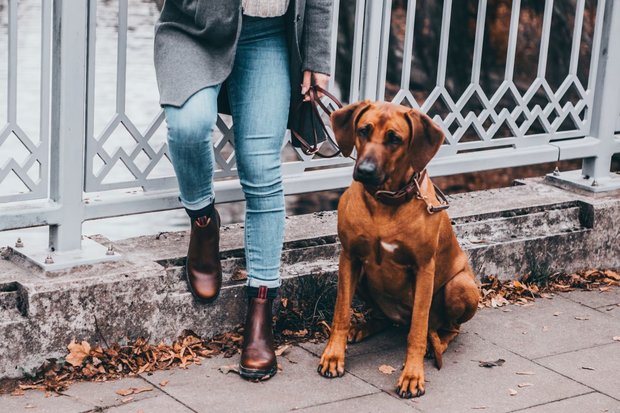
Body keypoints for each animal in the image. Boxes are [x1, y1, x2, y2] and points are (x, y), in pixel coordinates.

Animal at [318, 100, 482, 396]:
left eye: (394, 139)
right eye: (363, 130)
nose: (365, 171)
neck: (385, 202)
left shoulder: (424, 268)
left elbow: (417, 330)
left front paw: (412, 375)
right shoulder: (349, 257)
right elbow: (341, 313)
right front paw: (334, 355)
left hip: (460, 285)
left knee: (448, 328)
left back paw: (436, 344)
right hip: (362, 278)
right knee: (385, 318)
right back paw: (364, 327)